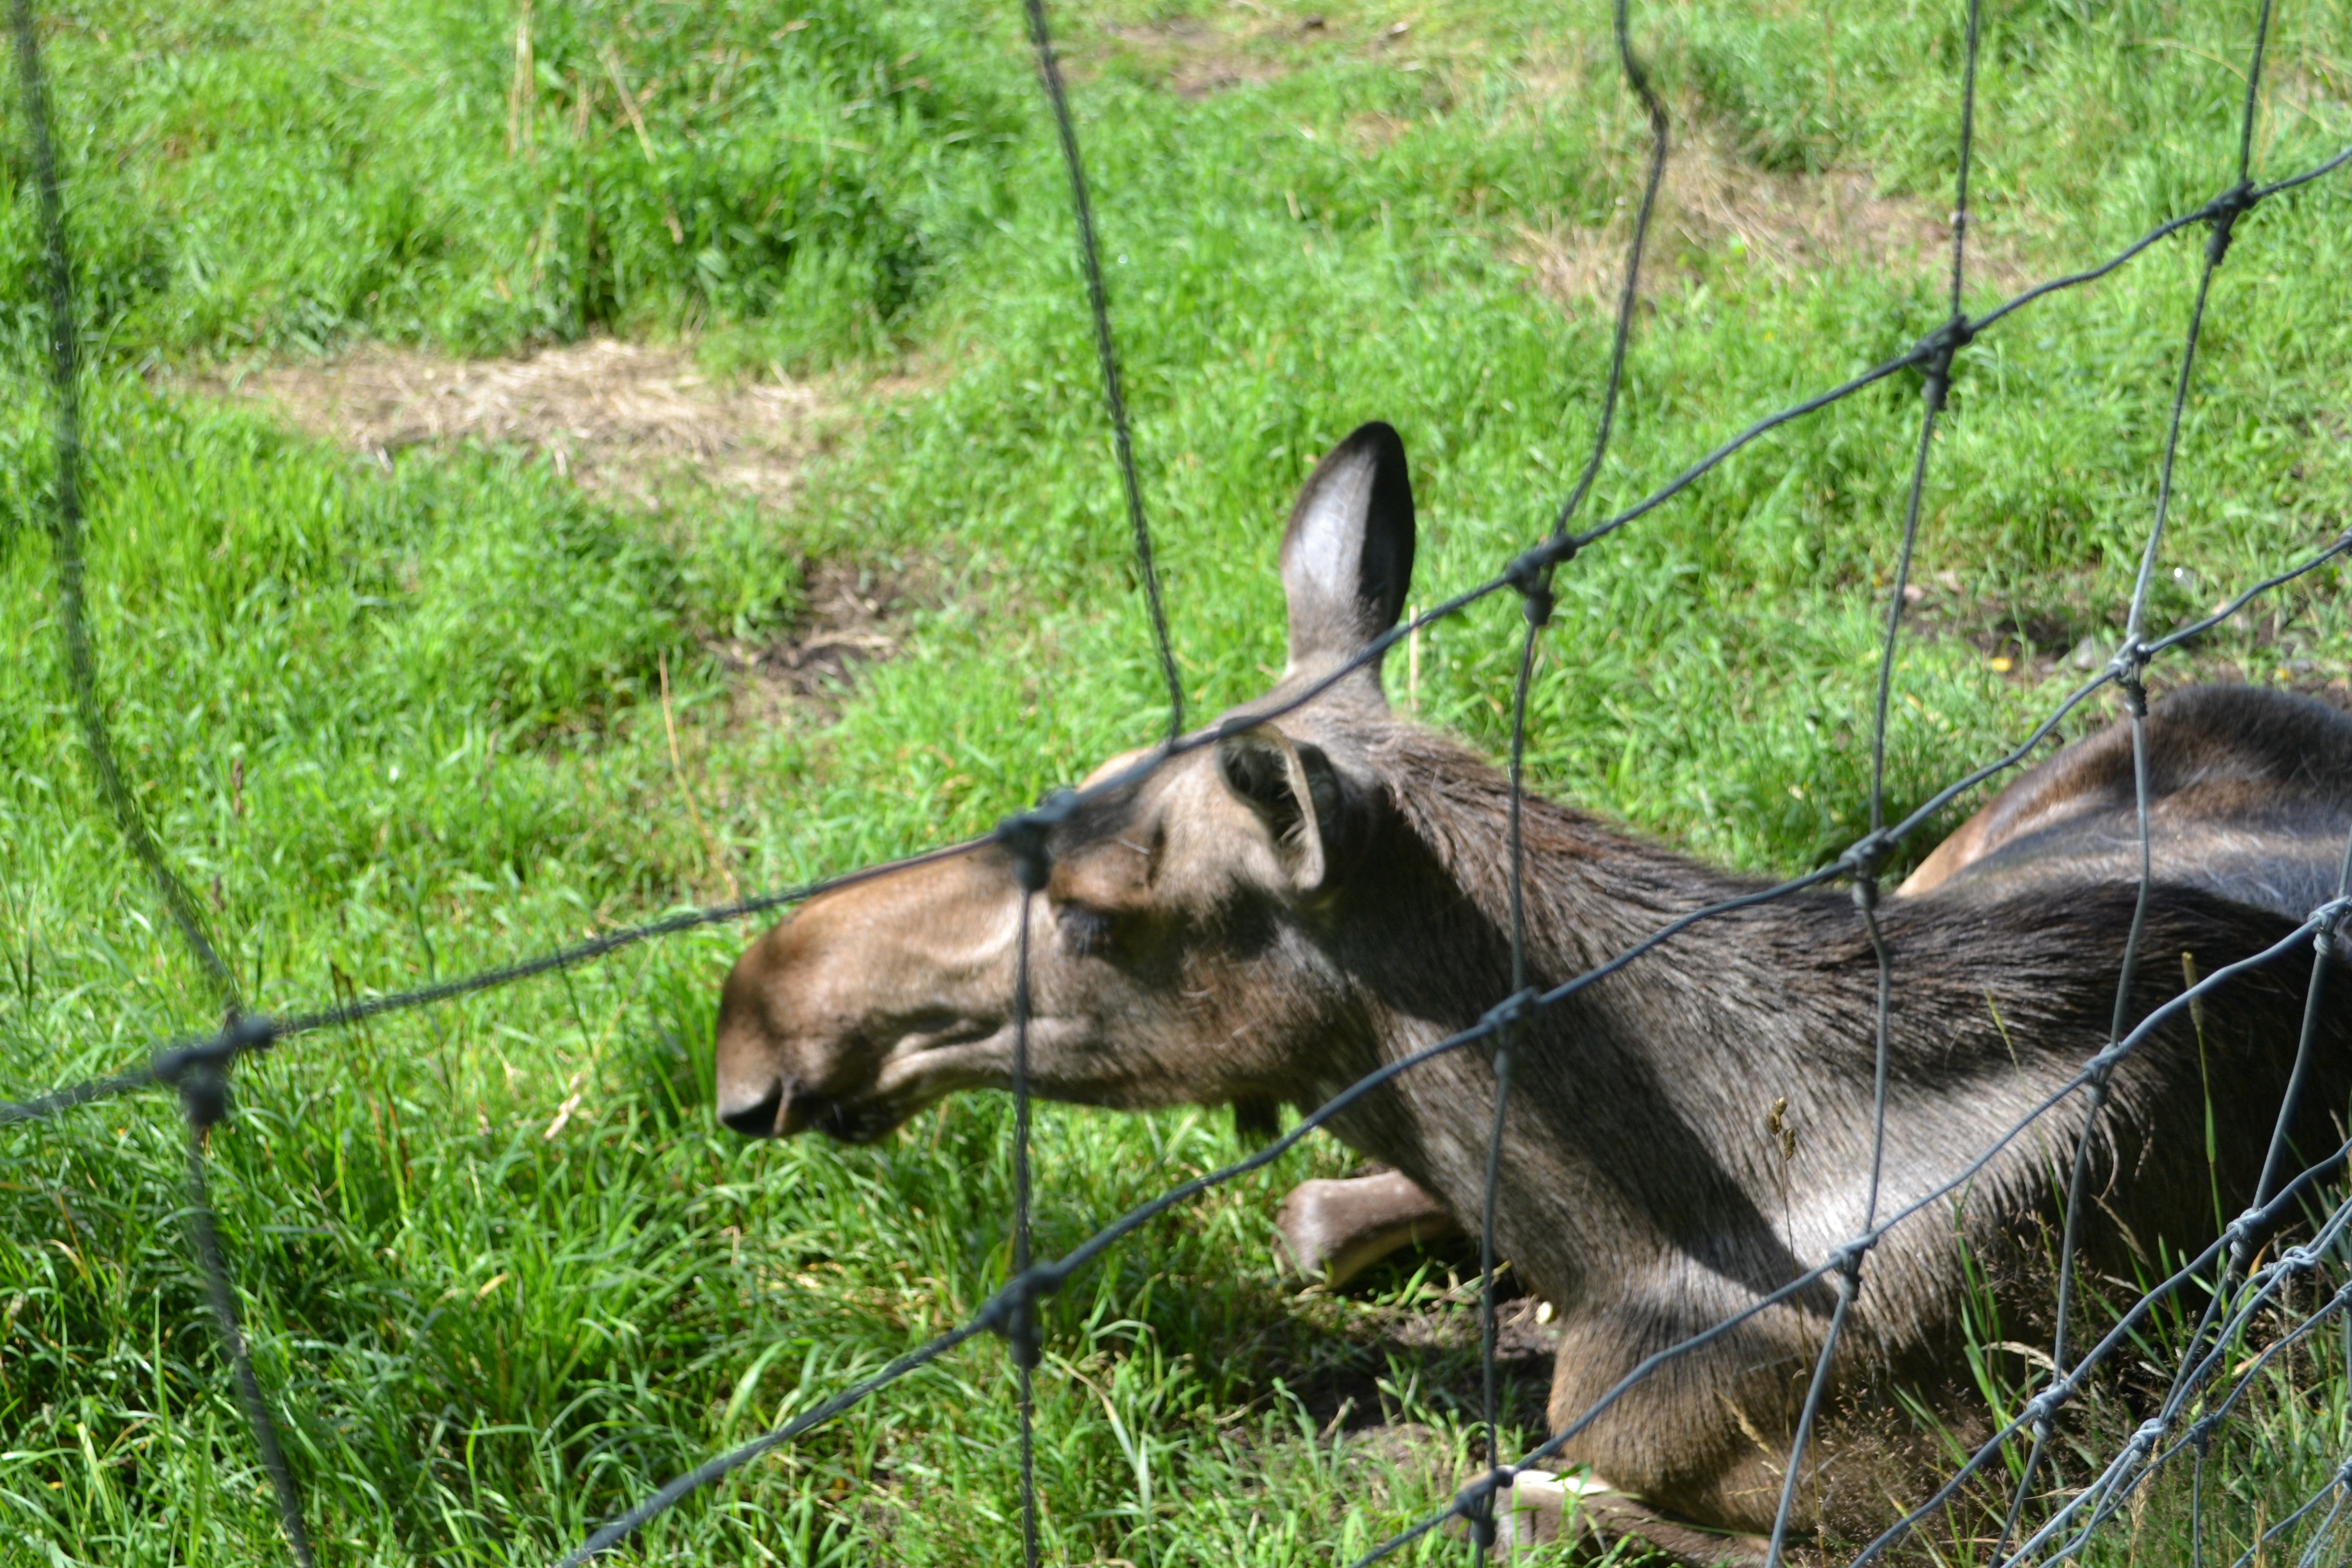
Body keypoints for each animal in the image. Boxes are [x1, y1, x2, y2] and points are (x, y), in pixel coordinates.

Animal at [715, 423, 2352, 1561]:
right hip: (1972, 843)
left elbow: (1509, 1494)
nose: (756, 1017)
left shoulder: (2038, 1498)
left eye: (1101, 912)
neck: (1652, 1252)